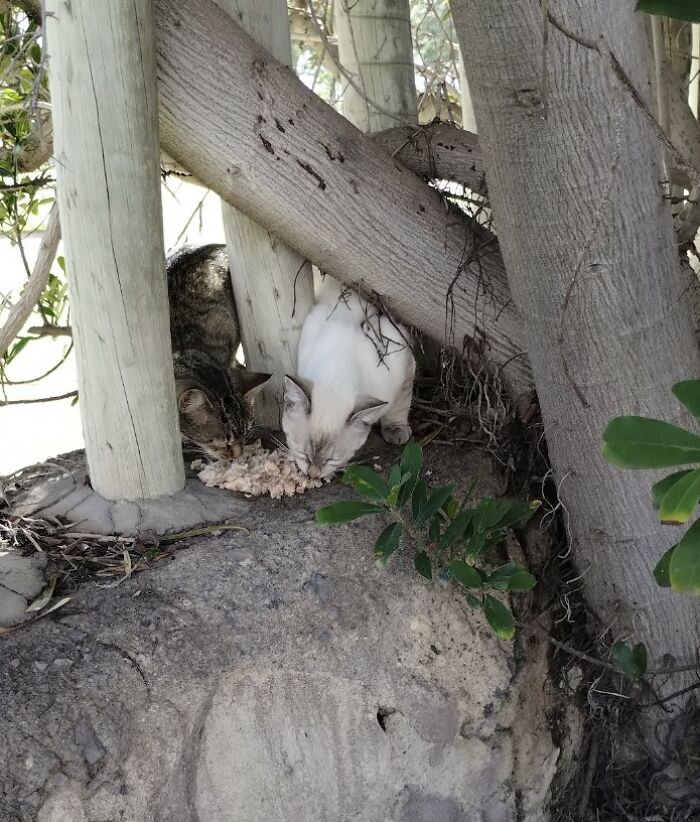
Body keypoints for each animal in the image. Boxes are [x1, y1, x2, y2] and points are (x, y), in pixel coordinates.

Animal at [284, 284, 416, 480]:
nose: (313, 475)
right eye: (303, 454)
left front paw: (395, 430)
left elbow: (399, 406)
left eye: (331, 460)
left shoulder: (403, 357)